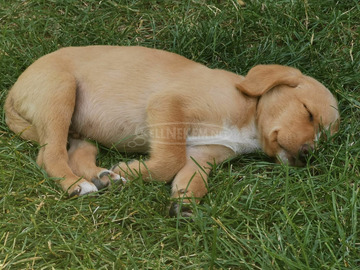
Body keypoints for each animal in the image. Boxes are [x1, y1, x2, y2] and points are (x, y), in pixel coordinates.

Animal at [4, 45, 338, 215]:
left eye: (324, 139)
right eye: (308, 113)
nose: (307, 154)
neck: (249, 118)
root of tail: (13, 91)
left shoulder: (204, 155)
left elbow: (191, 176)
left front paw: (185, 201)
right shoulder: (168, 106)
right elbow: (170, 160)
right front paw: (132, 170)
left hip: (80, 132)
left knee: (77, 152)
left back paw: (103, 176)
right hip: (61, 93)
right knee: (49, 155)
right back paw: (77, 184)